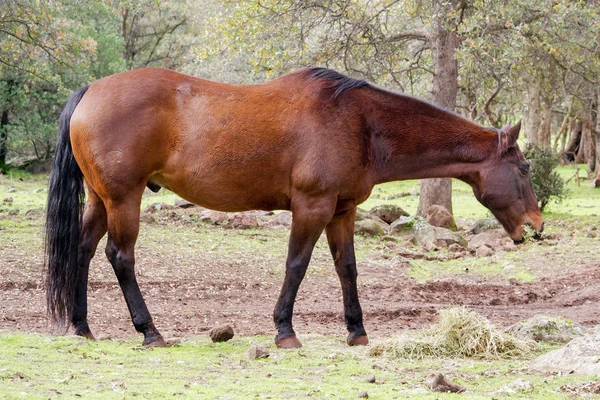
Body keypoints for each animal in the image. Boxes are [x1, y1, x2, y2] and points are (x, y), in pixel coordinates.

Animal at [47, 67, 544, 348]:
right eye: (522, 168)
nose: (536, 226)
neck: (361, 124)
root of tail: (90, 91)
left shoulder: (342, 211)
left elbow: (347, 269)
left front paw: (356, 331)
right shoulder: (312, 208)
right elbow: (297, 265)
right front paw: (285, 330)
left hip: (102, 200)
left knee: (82, 252)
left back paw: (82, 326)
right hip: (124, 199)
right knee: (120, 257)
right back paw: (149, 331)